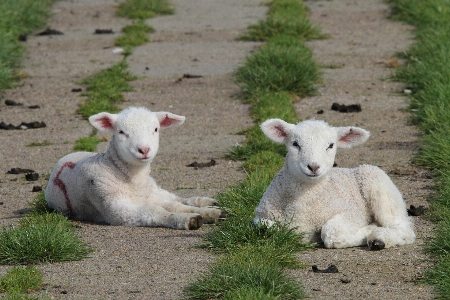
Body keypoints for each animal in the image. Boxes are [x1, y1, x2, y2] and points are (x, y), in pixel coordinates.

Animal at [45, 106, 225, 230]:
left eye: (156, 129)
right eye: (121, 132)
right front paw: (188, 219)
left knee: (177, 199)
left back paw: (210, 205)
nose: (144, 150)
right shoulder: (116, 208)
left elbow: (175, 205)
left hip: (153, 189)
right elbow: (154, 211)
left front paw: (207, 213)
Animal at [253, 118, 414, 250]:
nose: (313, 167)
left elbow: (332, 233)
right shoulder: (261, 215)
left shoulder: (352, 212)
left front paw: (370, 229)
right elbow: (265, 227)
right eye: (295, 144)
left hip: (378, 185)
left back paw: (379, 238)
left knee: (404, 229)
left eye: (330, 145)